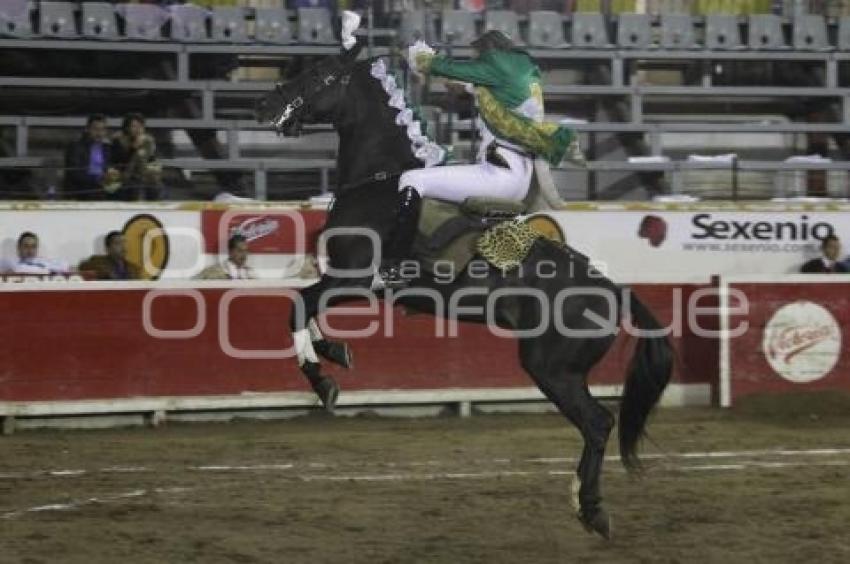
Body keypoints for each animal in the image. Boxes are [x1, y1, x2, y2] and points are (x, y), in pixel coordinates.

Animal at [255, 45, 672, 536]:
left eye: (321, 76)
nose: (264, 106)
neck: (381, 181)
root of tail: (612, 289)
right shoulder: (345, 282)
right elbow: (307, 310)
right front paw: (336, 352)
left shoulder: (353, 279)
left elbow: (297, 306)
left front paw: (324, 383)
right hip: (561, 371)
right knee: (597, 425)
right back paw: (586, 506)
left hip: (551, 369)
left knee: (598, 422)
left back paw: (592, 510)